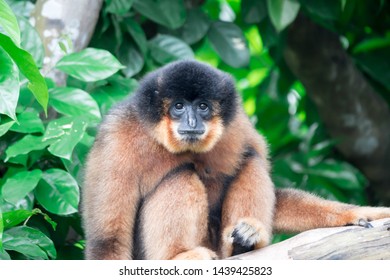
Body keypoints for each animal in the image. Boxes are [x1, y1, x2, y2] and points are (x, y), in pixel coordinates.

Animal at [82, 59, 390, 260]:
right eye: (179, 106)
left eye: (203, 107)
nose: (192, 121)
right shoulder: (116, 138)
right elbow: (107, 241)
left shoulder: (239, 126)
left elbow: (276, 196)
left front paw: (358, 215)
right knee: (179, 175)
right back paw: (178, 256)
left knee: (249, 160)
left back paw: (246, 241)